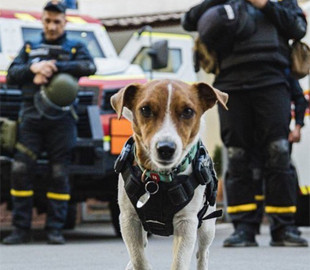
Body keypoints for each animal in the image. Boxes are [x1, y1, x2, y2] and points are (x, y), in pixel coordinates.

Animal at [111, 79, 228, 270]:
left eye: (188, 111)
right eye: (145, 109)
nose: (166, 148)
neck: (157, 180)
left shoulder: (186, 223)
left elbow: (179, 262)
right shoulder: (129, 219)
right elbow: (138, 259)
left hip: (207, 226)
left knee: (203, 253)